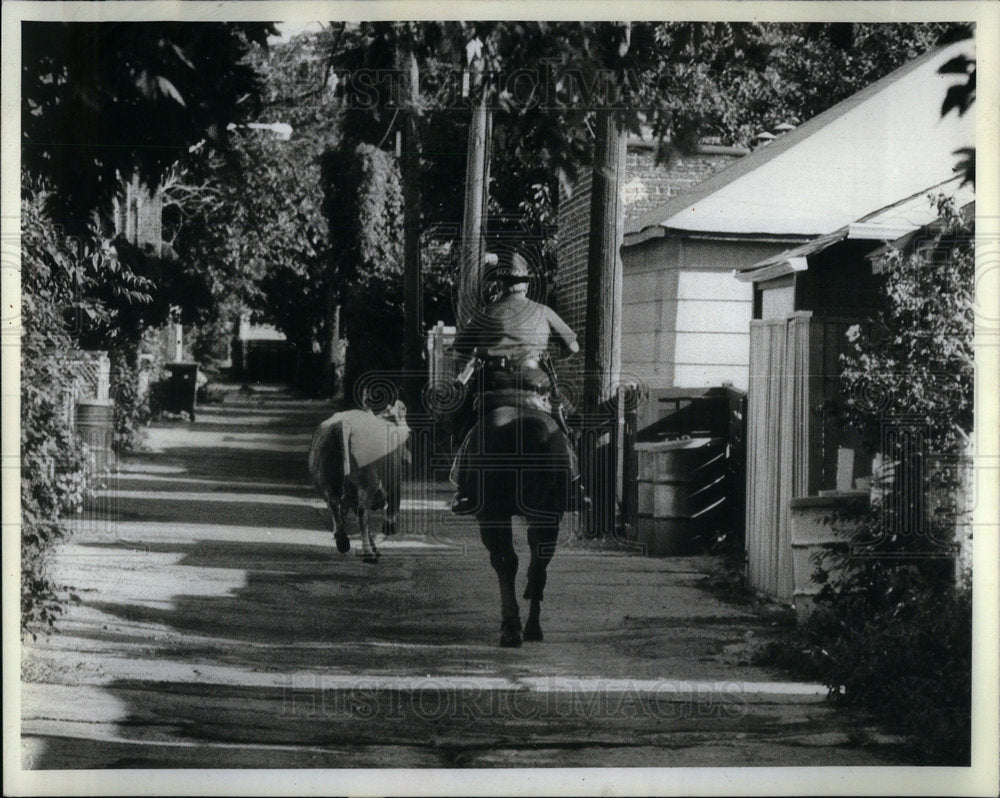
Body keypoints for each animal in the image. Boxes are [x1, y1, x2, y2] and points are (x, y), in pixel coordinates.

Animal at [466, 396, 576, 648]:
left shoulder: (490, 516)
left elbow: (502, 561)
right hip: (548, 514)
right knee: (538, 564)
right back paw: (533, 627)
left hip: (494, 514)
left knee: (507, 562)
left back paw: (511, 630)